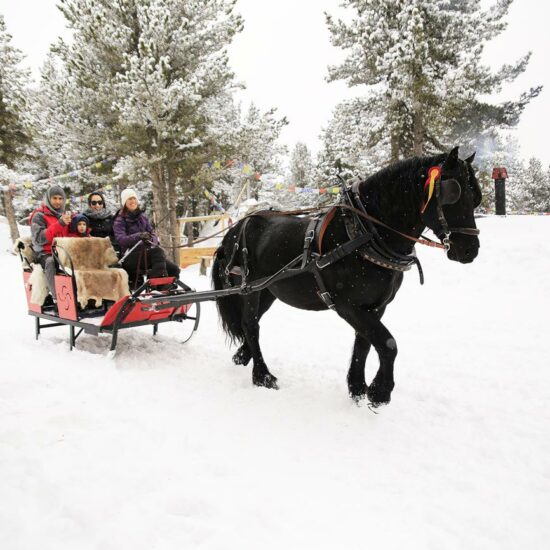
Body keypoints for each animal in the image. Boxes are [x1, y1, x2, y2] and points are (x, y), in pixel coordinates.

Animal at [213, 149, 480, 408]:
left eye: (475, 198)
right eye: (455, 195)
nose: (470, 250)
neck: (363, 232)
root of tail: (235, 230)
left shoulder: (376, 306)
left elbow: (364, 344)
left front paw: (358, 389)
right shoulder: (347, 305)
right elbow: (388, 344)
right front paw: (380, 392)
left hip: (268, 291)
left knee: (252, 323)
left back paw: (243, 356)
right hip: (249, 289)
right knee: (250, 324)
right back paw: (262, 376)